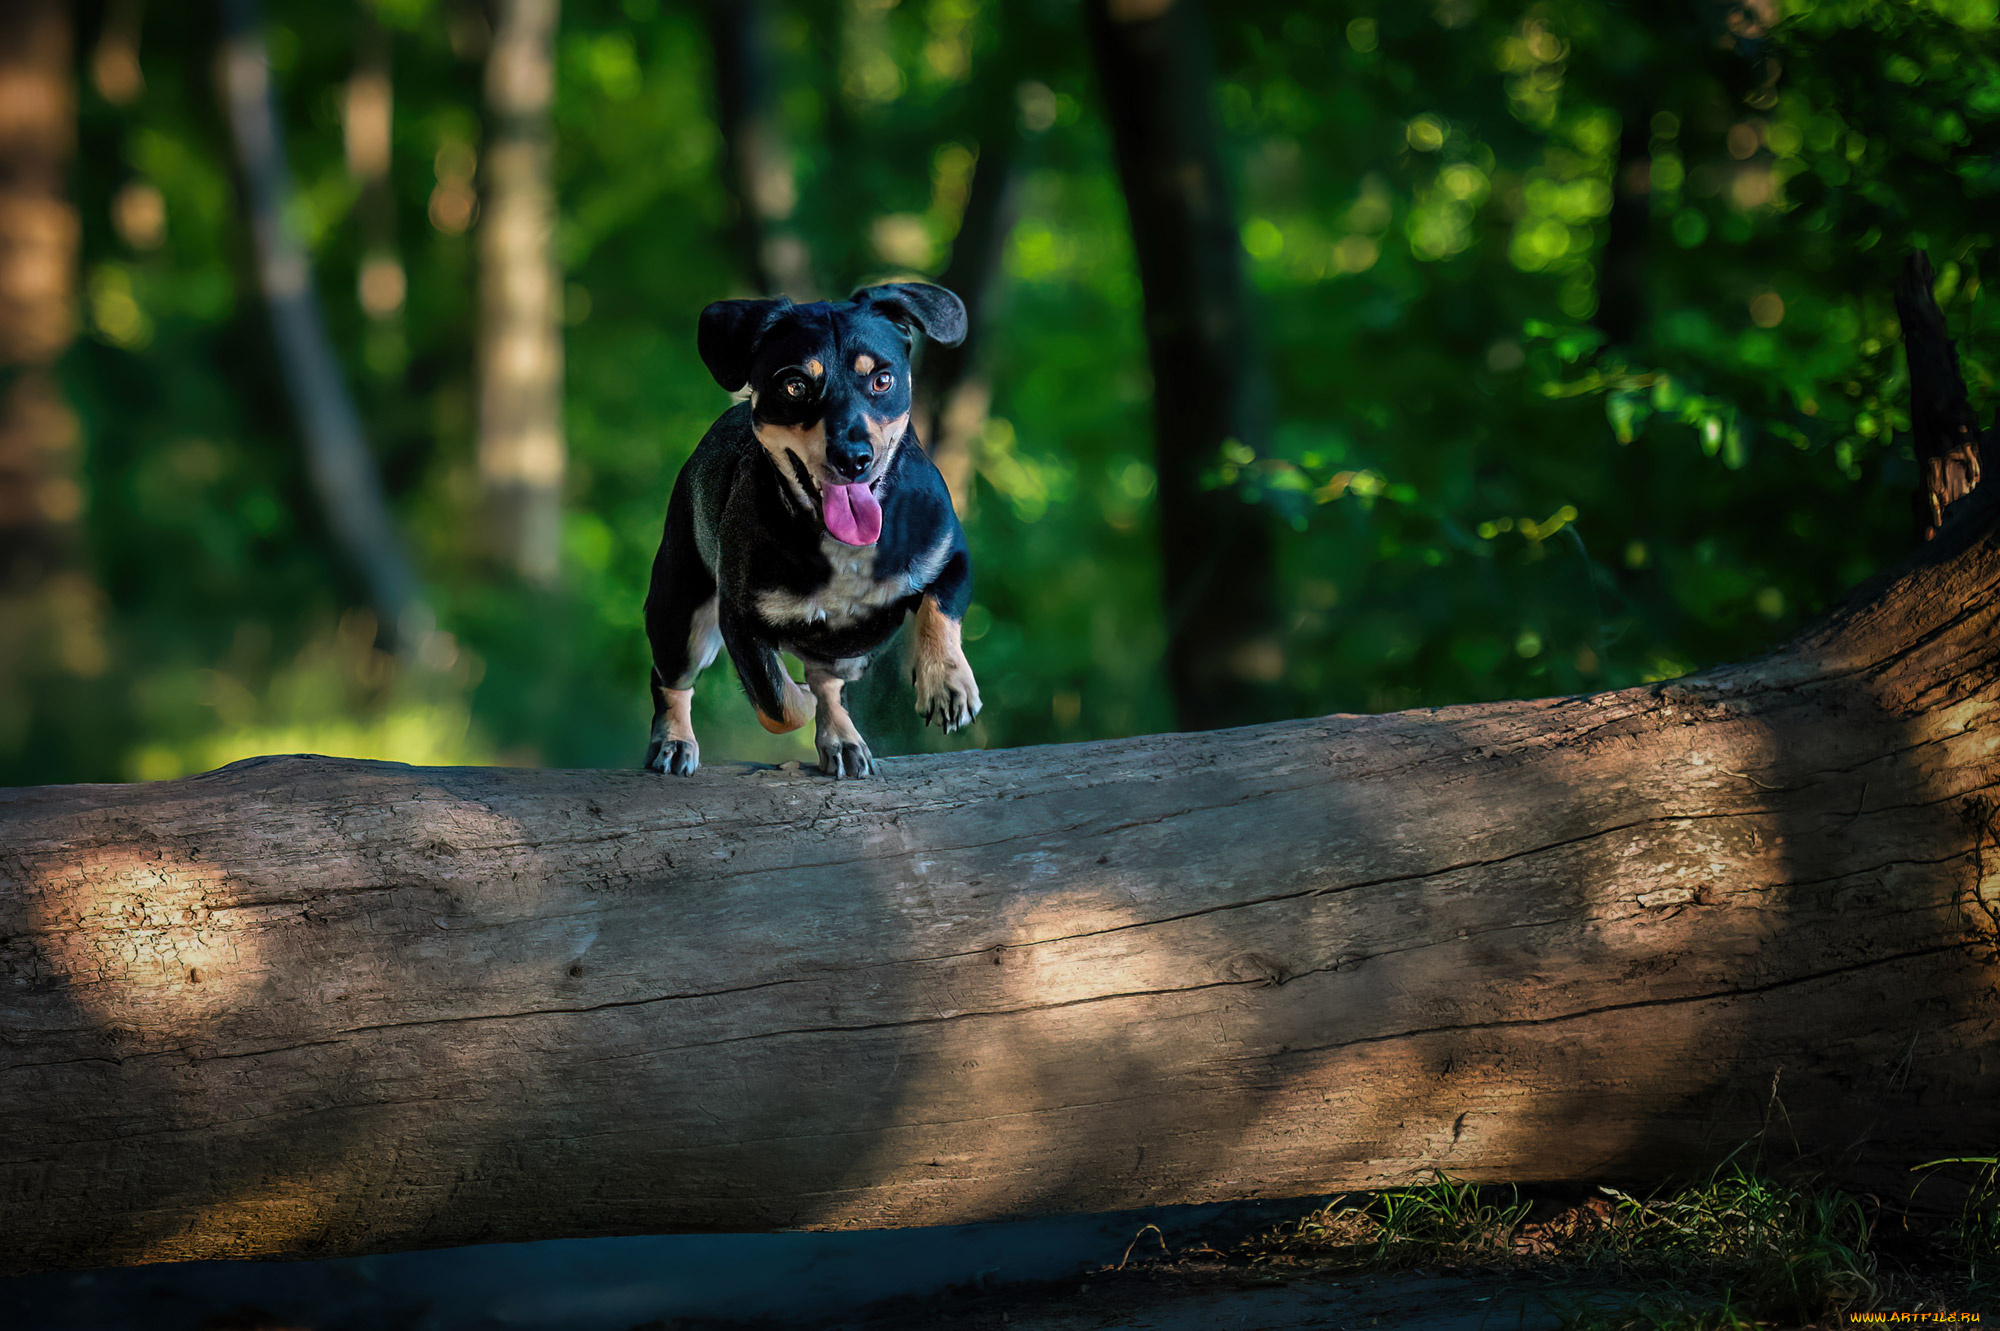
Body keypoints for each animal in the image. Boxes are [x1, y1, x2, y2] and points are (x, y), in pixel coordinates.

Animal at [644, 281, 980, 779]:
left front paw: (947, 684)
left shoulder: (950, 554)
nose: (852, 457)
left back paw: (842, 737)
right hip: (679, 612)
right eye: (795, 385)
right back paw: (674, 741)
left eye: (882, 380)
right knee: (671, 678)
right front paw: (801, 700)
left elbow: (940, 607)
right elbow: (779, 703)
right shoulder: (739, 619)